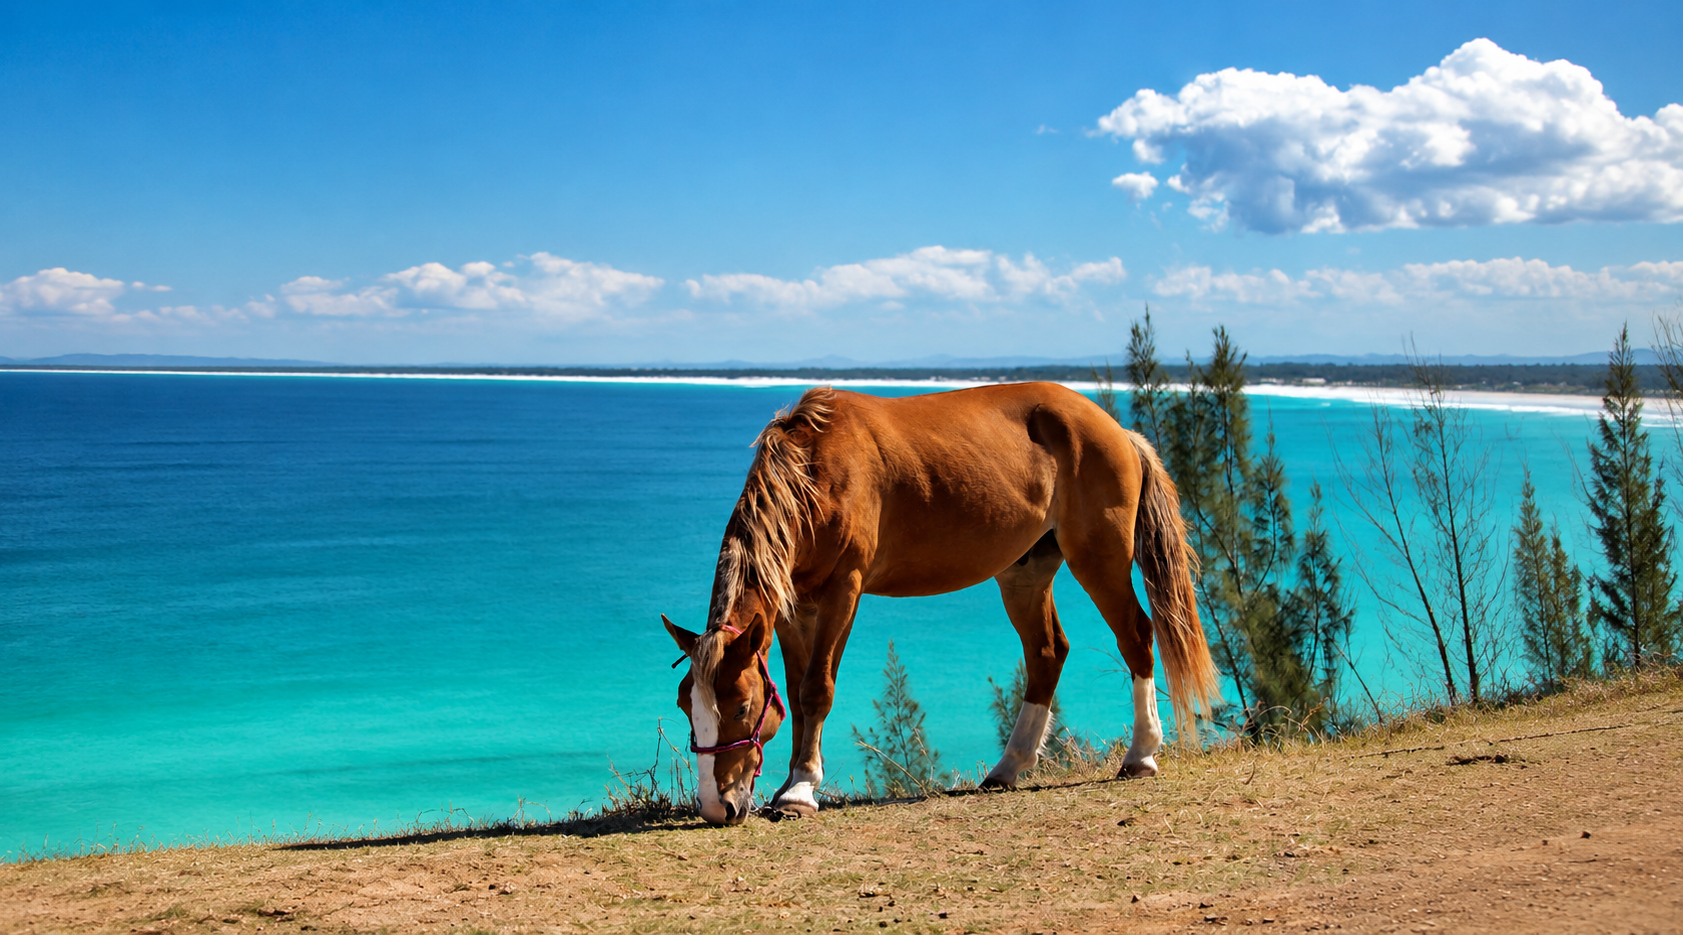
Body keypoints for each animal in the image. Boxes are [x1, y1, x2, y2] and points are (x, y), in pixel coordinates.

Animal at [662, 382, 1220, 825]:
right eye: (686, 704)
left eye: (741, 705)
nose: (716, 806)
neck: (815, 469)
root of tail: (1115, 429)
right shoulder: (794, 605)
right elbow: (797, 696)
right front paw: (789, 786)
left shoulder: (844, 589)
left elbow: (816, 690)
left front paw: (800, 790)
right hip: (1024, 571)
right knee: (1047, 652)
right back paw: (1008, 768)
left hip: (1098, 557)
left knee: (1136, 636)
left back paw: (1140, 755)